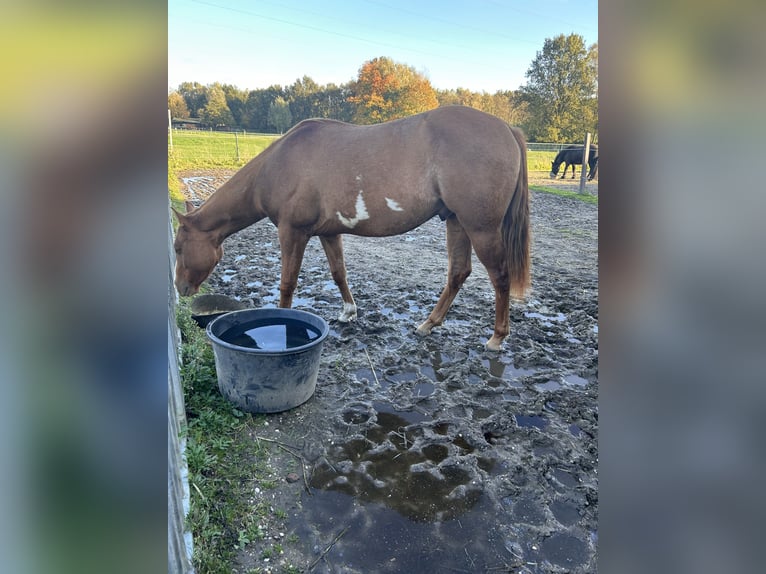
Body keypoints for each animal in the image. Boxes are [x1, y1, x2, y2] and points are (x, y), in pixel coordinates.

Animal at [175, 106, 532, 354]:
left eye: (178, 248)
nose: (180, 288)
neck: (279, 165)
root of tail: (506, 128)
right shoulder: (328, 232)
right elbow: (338, 273)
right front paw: (349, 312)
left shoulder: (292, 233)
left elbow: (287, 284)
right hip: (457, 221)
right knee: (458, 273)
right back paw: (428, 325)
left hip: (481, 228)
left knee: (500, 277)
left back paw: (497, 338)